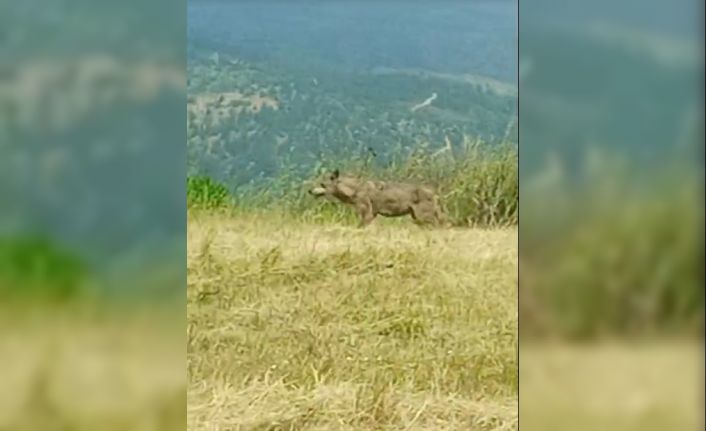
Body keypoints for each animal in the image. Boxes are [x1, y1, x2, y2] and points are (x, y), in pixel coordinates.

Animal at [308, 170, 446, 228]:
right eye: (317, 182)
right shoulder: (372, 215)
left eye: (322, 184)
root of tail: (435, 194)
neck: (354, 190)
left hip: (423, 218)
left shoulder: (367, 214)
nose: (309, 191)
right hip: (418, 219)